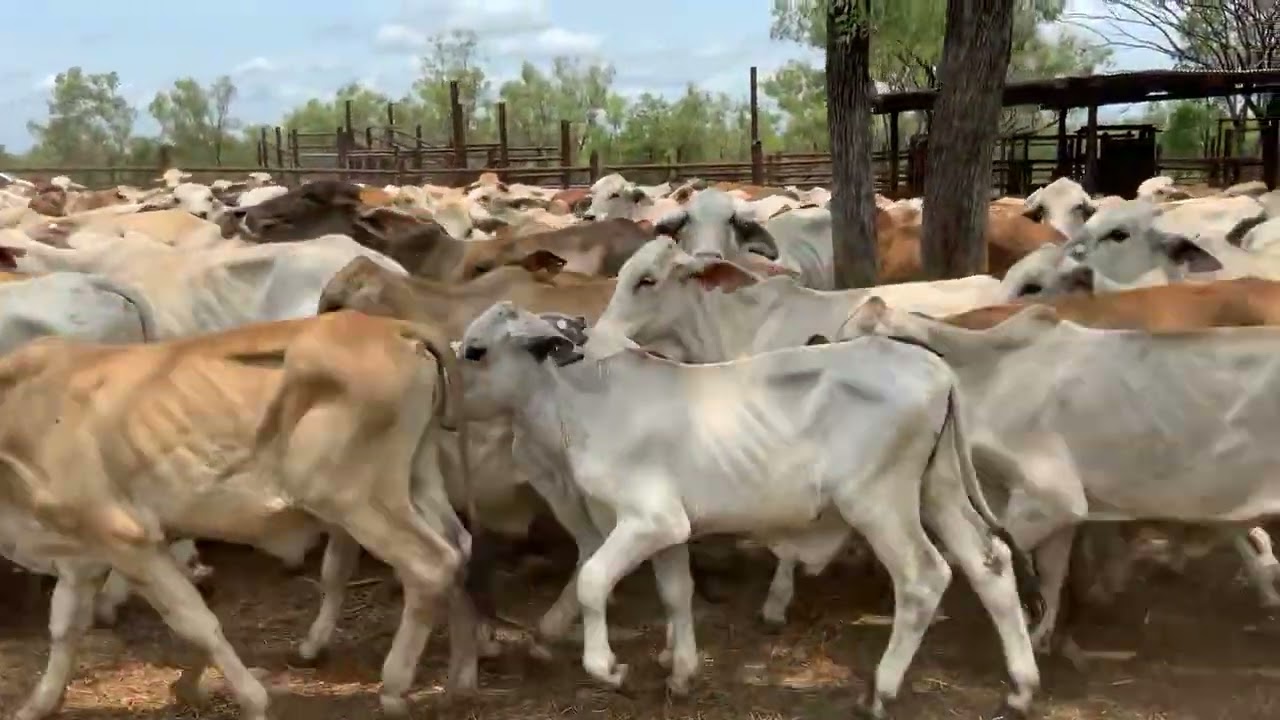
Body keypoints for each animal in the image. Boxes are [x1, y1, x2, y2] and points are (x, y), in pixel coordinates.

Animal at [4, 311, 481, 720]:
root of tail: (394, 327)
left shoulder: (128, 538)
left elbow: (194, 621)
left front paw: (251, 699)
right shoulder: (82, 551)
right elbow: (65, 627)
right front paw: (37, 705)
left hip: (350, 496)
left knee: (430, 563)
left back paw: (395, 689)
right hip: (417, 480)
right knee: (459, 549)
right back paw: (461, 680)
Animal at [456, 301, 1040, 719]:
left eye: (476, 351)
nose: (447, 407)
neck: (579, 404)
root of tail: (937, 370)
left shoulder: (647, 519)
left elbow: (593, 580)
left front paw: (609, 668)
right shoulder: (669, 530)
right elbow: (676, 595)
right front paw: (681, 674)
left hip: (879, 500)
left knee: (924, 578)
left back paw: (881, 689)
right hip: (937, 489)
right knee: (989, 563)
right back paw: (1022, 687)